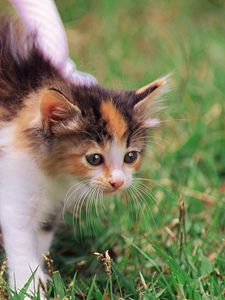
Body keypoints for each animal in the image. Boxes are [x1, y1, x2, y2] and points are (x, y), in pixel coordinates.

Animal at [0, 18, 170, 296]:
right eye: (94, 159)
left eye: (130, 157)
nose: (118, 182)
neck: (53, 174)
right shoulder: (15, 191)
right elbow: (21, 243)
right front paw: (29, 290)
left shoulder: (52, 207)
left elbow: (40, 239)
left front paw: (42, 277)